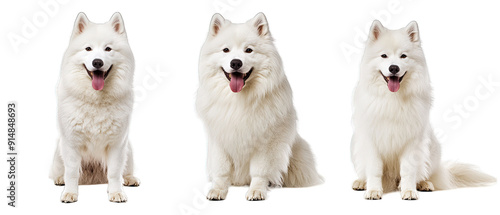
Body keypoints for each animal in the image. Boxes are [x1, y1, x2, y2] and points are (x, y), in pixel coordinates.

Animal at [50, 12, 140, 203]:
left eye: (108, 49)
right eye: (88, 49)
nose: (97, 62)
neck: (96, 100)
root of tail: (94, 179)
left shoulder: (116, 144)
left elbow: (114, 172)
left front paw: (116, 193)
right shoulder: (71, 143)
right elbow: (71, 172)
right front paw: (70, 193)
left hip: (128, 149)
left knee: (124, 172)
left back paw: (129, 180)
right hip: (59, 151)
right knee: (61, 172)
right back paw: (60, 179)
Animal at [195, 13, 324, 202]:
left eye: (248, 50)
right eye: (226, 50)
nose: (235, 63)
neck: (239, 100)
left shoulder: (265, 142)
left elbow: (259, 171)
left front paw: (256, 190)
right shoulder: (219, 139)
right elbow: (221, 170)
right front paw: (218, 190)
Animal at [352, 19, 496, 200]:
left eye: (403, 56)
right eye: (384, 56)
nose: (394, 68)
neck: (393, 98)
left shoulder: (412, 142)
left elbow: (408, 170)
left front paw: (409, 191)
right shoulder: (371, 141)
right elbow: (374, 170)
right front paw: (373, 190)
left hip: (433, 149)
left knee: (425, 173)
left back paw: (423, 184)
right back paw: (361, 182)